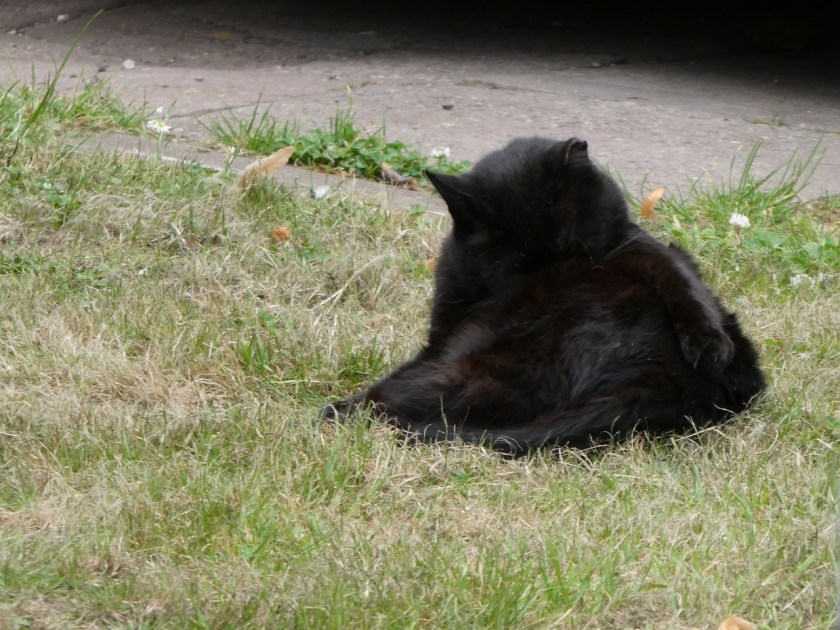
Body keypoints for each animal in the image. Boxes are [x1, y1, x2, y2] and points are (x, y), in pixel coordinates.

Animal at [321, 136, 767, 456]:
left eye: (573, 251)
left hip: (477, 364)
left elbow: (682, 282)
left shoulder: (640, 246)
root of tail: (666, 383)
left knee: (390, 400)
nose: (551, 280)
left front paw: (707, 341)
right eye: (514, 268)